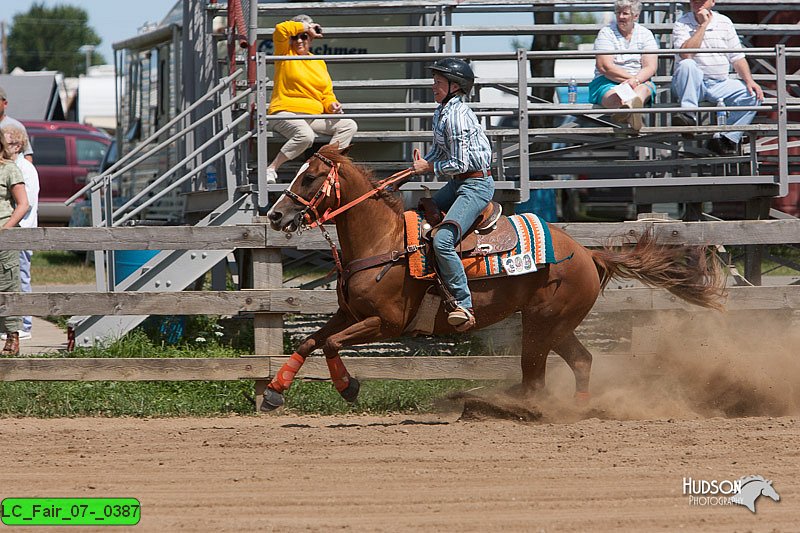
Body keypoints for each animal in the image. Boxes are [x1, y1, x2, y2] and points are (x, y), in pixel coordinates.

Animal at [262, 143, 724, 410]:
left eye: (310, 177)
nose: (275, 216)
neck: (385, 241)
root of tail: (587, 254)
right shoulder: (349, 314)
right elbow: (310, 341)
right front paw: (272, 392)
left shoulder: (386, 323)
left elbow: (332, 345)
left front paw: (348, 387)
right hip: (555, 326)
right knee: (581, 361)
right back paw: (574, 409)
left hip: (541, 325)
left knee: (537, 377)